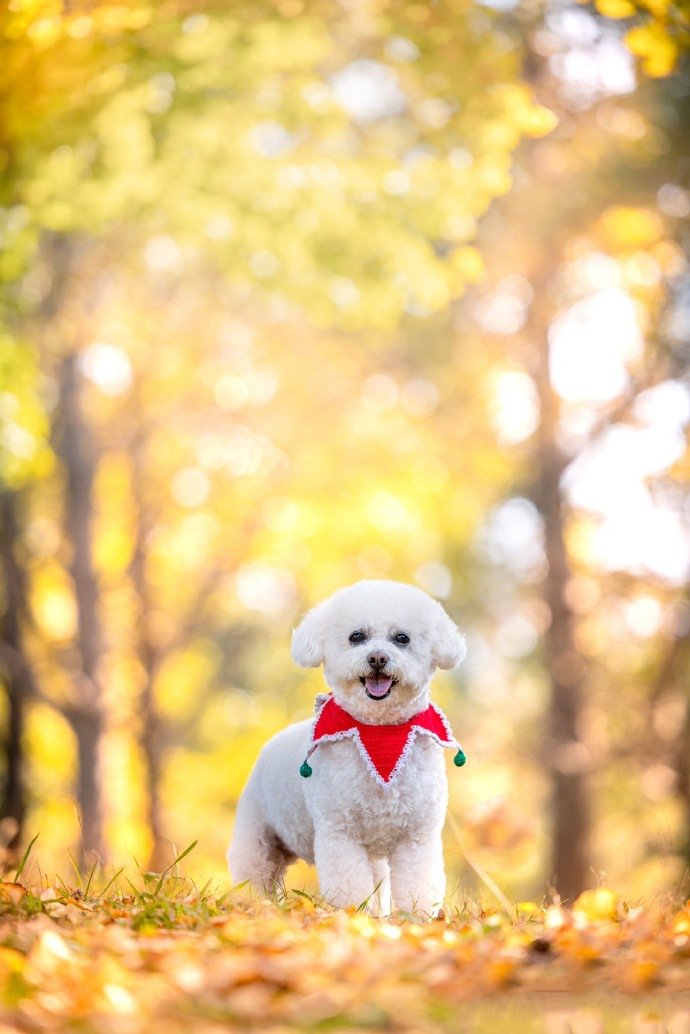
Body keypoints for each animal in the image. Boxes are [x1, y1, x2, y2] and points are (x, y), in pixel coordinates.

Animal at [229, 583, 467, 914]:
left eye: (402, 638)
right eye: (357, 637)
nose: (377, 658)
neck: (380, 736)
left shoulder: (417, 836)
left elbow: (417, 884)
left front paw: (417, 917)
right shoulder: (340, 833)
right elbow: (350, 887)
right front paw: (352, 915)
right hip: (256, 836)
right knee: (254, 873)